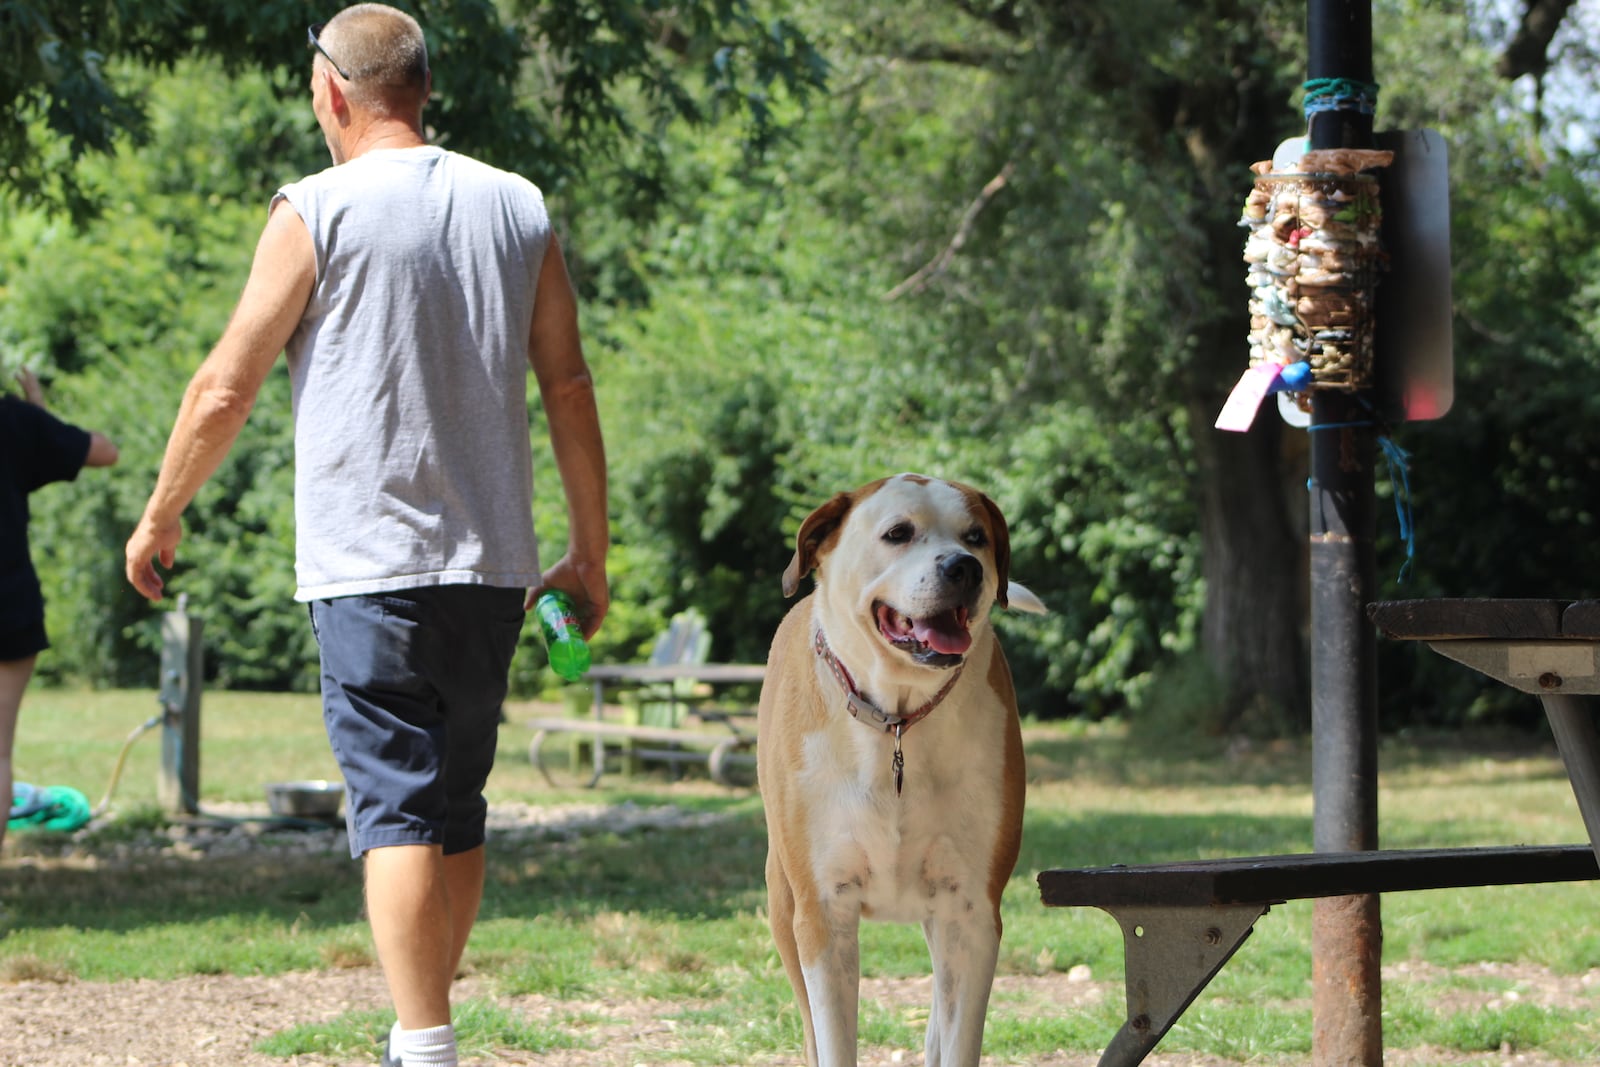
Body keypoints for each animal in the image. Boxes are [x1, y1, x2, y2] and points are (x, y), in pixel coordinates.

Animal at [758, 476, 1043, 1067]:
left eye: (976, 537)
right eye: (897, 533)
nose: (964, 567)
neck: (897, 721)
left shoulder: (970, 909)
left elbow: (959, 1035)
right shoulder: (822, 911)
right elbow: (833, 1036)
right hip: (781, 897)